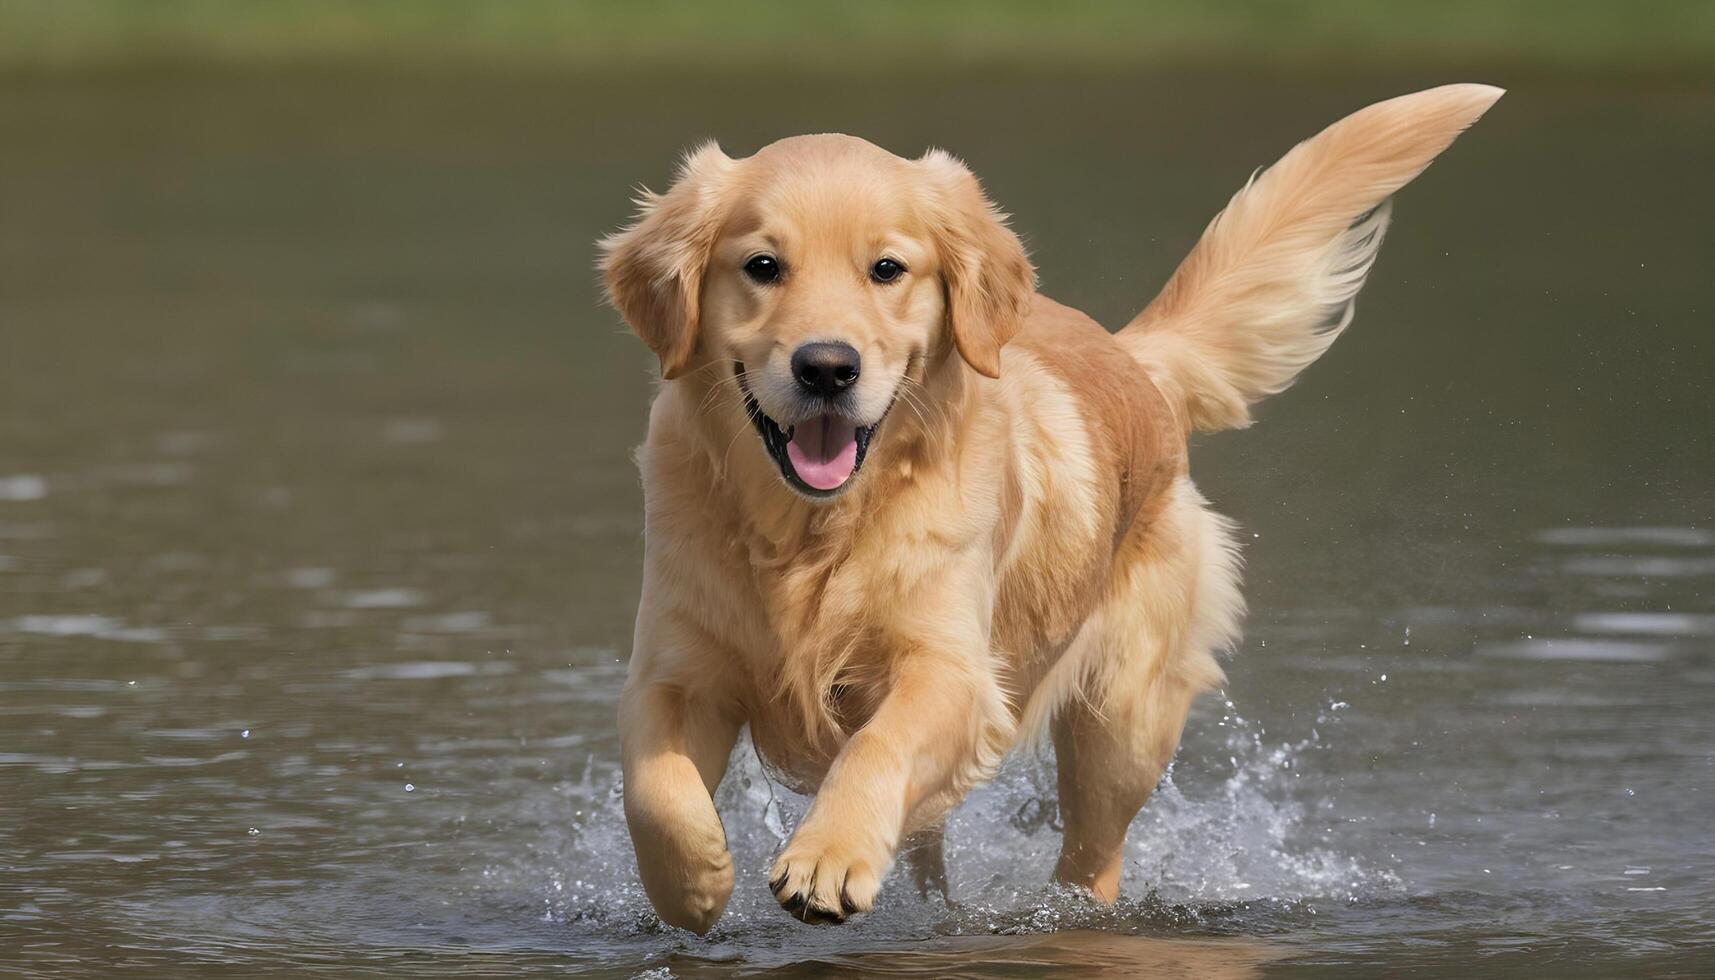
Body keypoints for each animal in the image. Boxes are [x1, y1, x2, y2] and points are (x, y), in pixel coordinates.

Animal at [596, 86, 1495, 933]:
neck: (812, 532)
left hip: (1121, 723)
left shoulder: (952, 671)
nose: (826, 367)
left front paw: (825, 857)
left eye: (886, 269)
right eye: (760, 265)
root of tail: (1136, 358)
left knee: (1092, 857)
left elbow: (877, 744)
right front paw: (695, 880)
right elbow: (653, 784)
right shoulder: (674, 667)